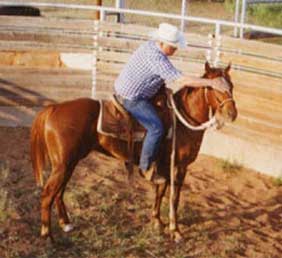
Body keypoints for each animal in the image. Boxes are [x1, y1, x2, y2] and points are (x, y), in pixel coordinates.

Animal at [30, 62, 238, 242]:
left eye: (232, 86)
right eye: (214, 88)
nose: (232, 114)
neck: (182, 121)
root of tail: (53, 108)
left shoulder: (164, 167)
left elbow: (161, 192)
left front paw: (157, 221)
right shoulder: (179, 166)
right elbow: (174, 198)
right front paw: (175, 231)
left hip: (70, 163)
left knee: (59, 192)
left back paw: (66, 224)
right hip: (63, 165)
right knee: (48, 193)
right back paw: (47, 234)